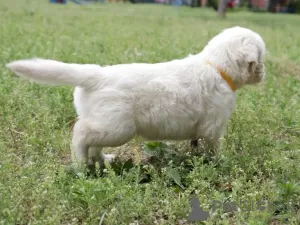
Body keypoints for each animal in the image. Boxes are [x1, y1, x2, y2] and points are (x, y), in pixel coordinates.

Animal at [6, 25, 264, 167]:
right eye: (261, 57)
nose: (264, 74)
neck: (216, 67)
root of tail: (96, 75)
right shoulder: (213, 126)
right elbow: (213, 147)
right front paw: (220, 162)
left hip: (106, 123)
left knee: (93, 144)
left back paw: (101, 160)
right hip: (117, 127)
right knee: (80, 133)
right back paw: (80, 165)